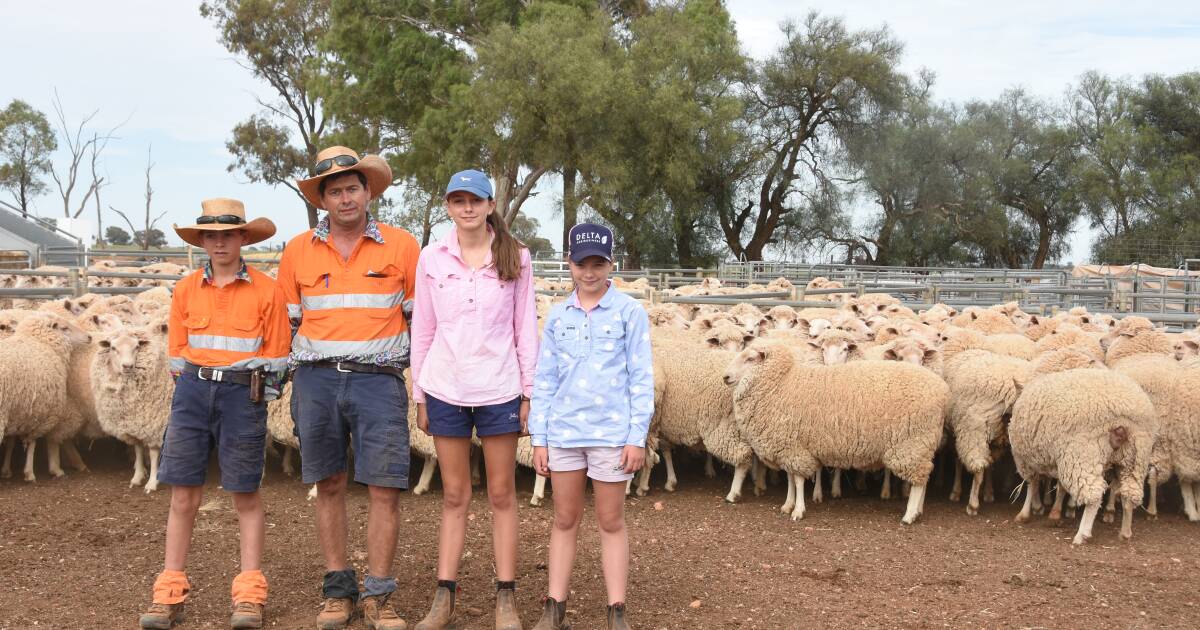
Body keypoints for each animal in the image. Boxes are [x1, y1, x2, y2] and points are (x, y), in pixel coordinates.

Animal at [1008, 364, 1156, 542]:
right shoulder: (1058, 457)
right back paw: (1125, 533)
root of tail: (1123, 420)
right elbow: (1058, 486)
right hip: (1135, 456)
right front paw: (1053, 513)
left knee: (1094, 496)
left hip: (1082, 454)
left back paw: (1082, 535)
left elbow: (1032, 484)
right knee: (1130, 493)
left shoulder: (1025, 458)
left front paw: (1025, 513)